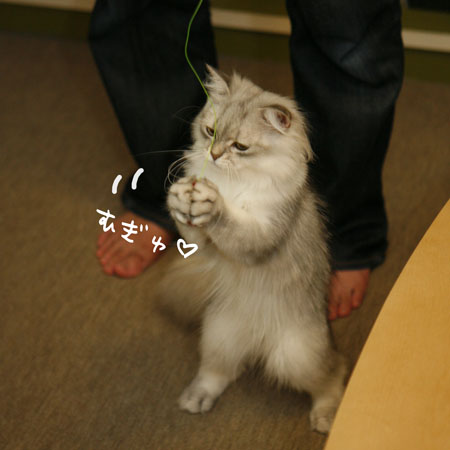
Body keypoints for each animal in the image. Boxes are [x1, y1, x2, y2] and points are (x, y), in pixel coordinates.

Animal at [158, 66, 347, 434]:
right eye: (211, 132)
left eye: (240, 146)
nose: (215, 155)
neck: (234, 182)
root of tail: (256, 341)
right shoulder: (202, 246)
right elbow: (191, 225)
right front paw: (182, 197)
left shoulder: (262, 236)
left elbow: (232, 224)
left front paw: (212, 204)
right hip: (218, 335)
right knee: (219, 371)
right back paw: (196, 398)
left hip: (295, 357)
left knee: (334, 375)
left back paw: (326, 417)